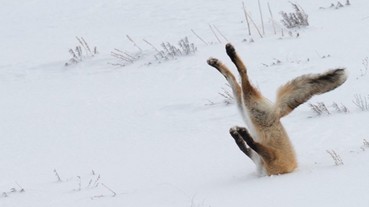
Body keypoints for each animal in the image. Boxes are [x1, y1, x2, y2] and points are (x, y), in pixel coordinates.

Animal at [207, 43, 348, 175]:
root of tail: (277, 113)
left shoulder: (271, 158)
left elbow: (251, 144)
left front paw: (242, 134)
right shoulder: (260, 157)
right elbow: (244, 146)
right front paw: (238, 134)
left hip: (249, 107)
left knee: (242, 74)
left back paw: (229, 54)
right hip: (244, 107)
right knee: (234, 79)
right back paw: (217, 61)